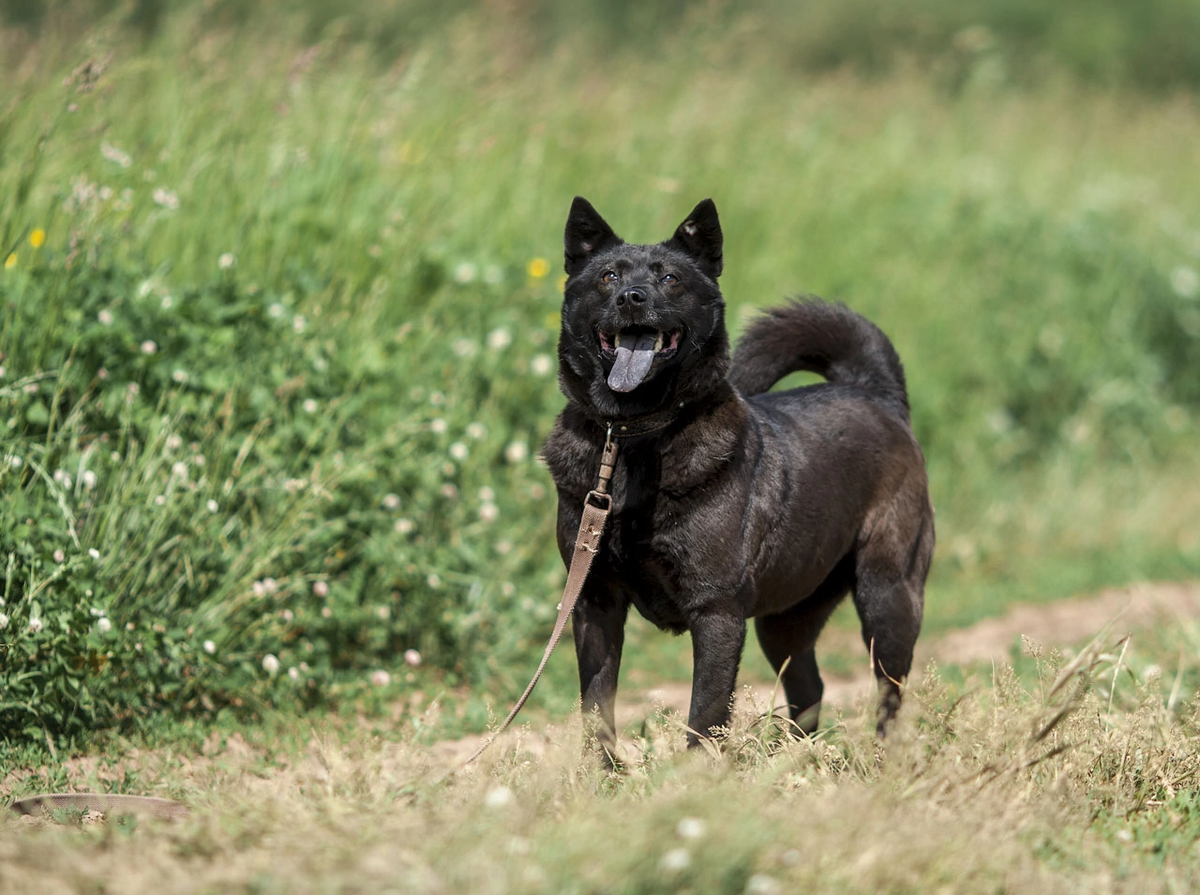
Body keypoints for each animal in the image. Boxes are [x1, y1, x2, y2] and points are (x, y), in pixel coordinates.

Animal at [544, 195, 936, 753]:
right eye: (607, 276)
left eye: (670, 279)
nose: (632, 298)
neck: (633, 438)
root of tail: (873, 391)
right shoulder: (594, 603)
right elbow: (597, 710)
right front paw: (603, 774)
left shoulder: (718, 615)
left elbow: (704, 717)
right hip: (786, 619)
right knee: (809, 689)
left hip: (887, 599)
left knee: (888, 695)